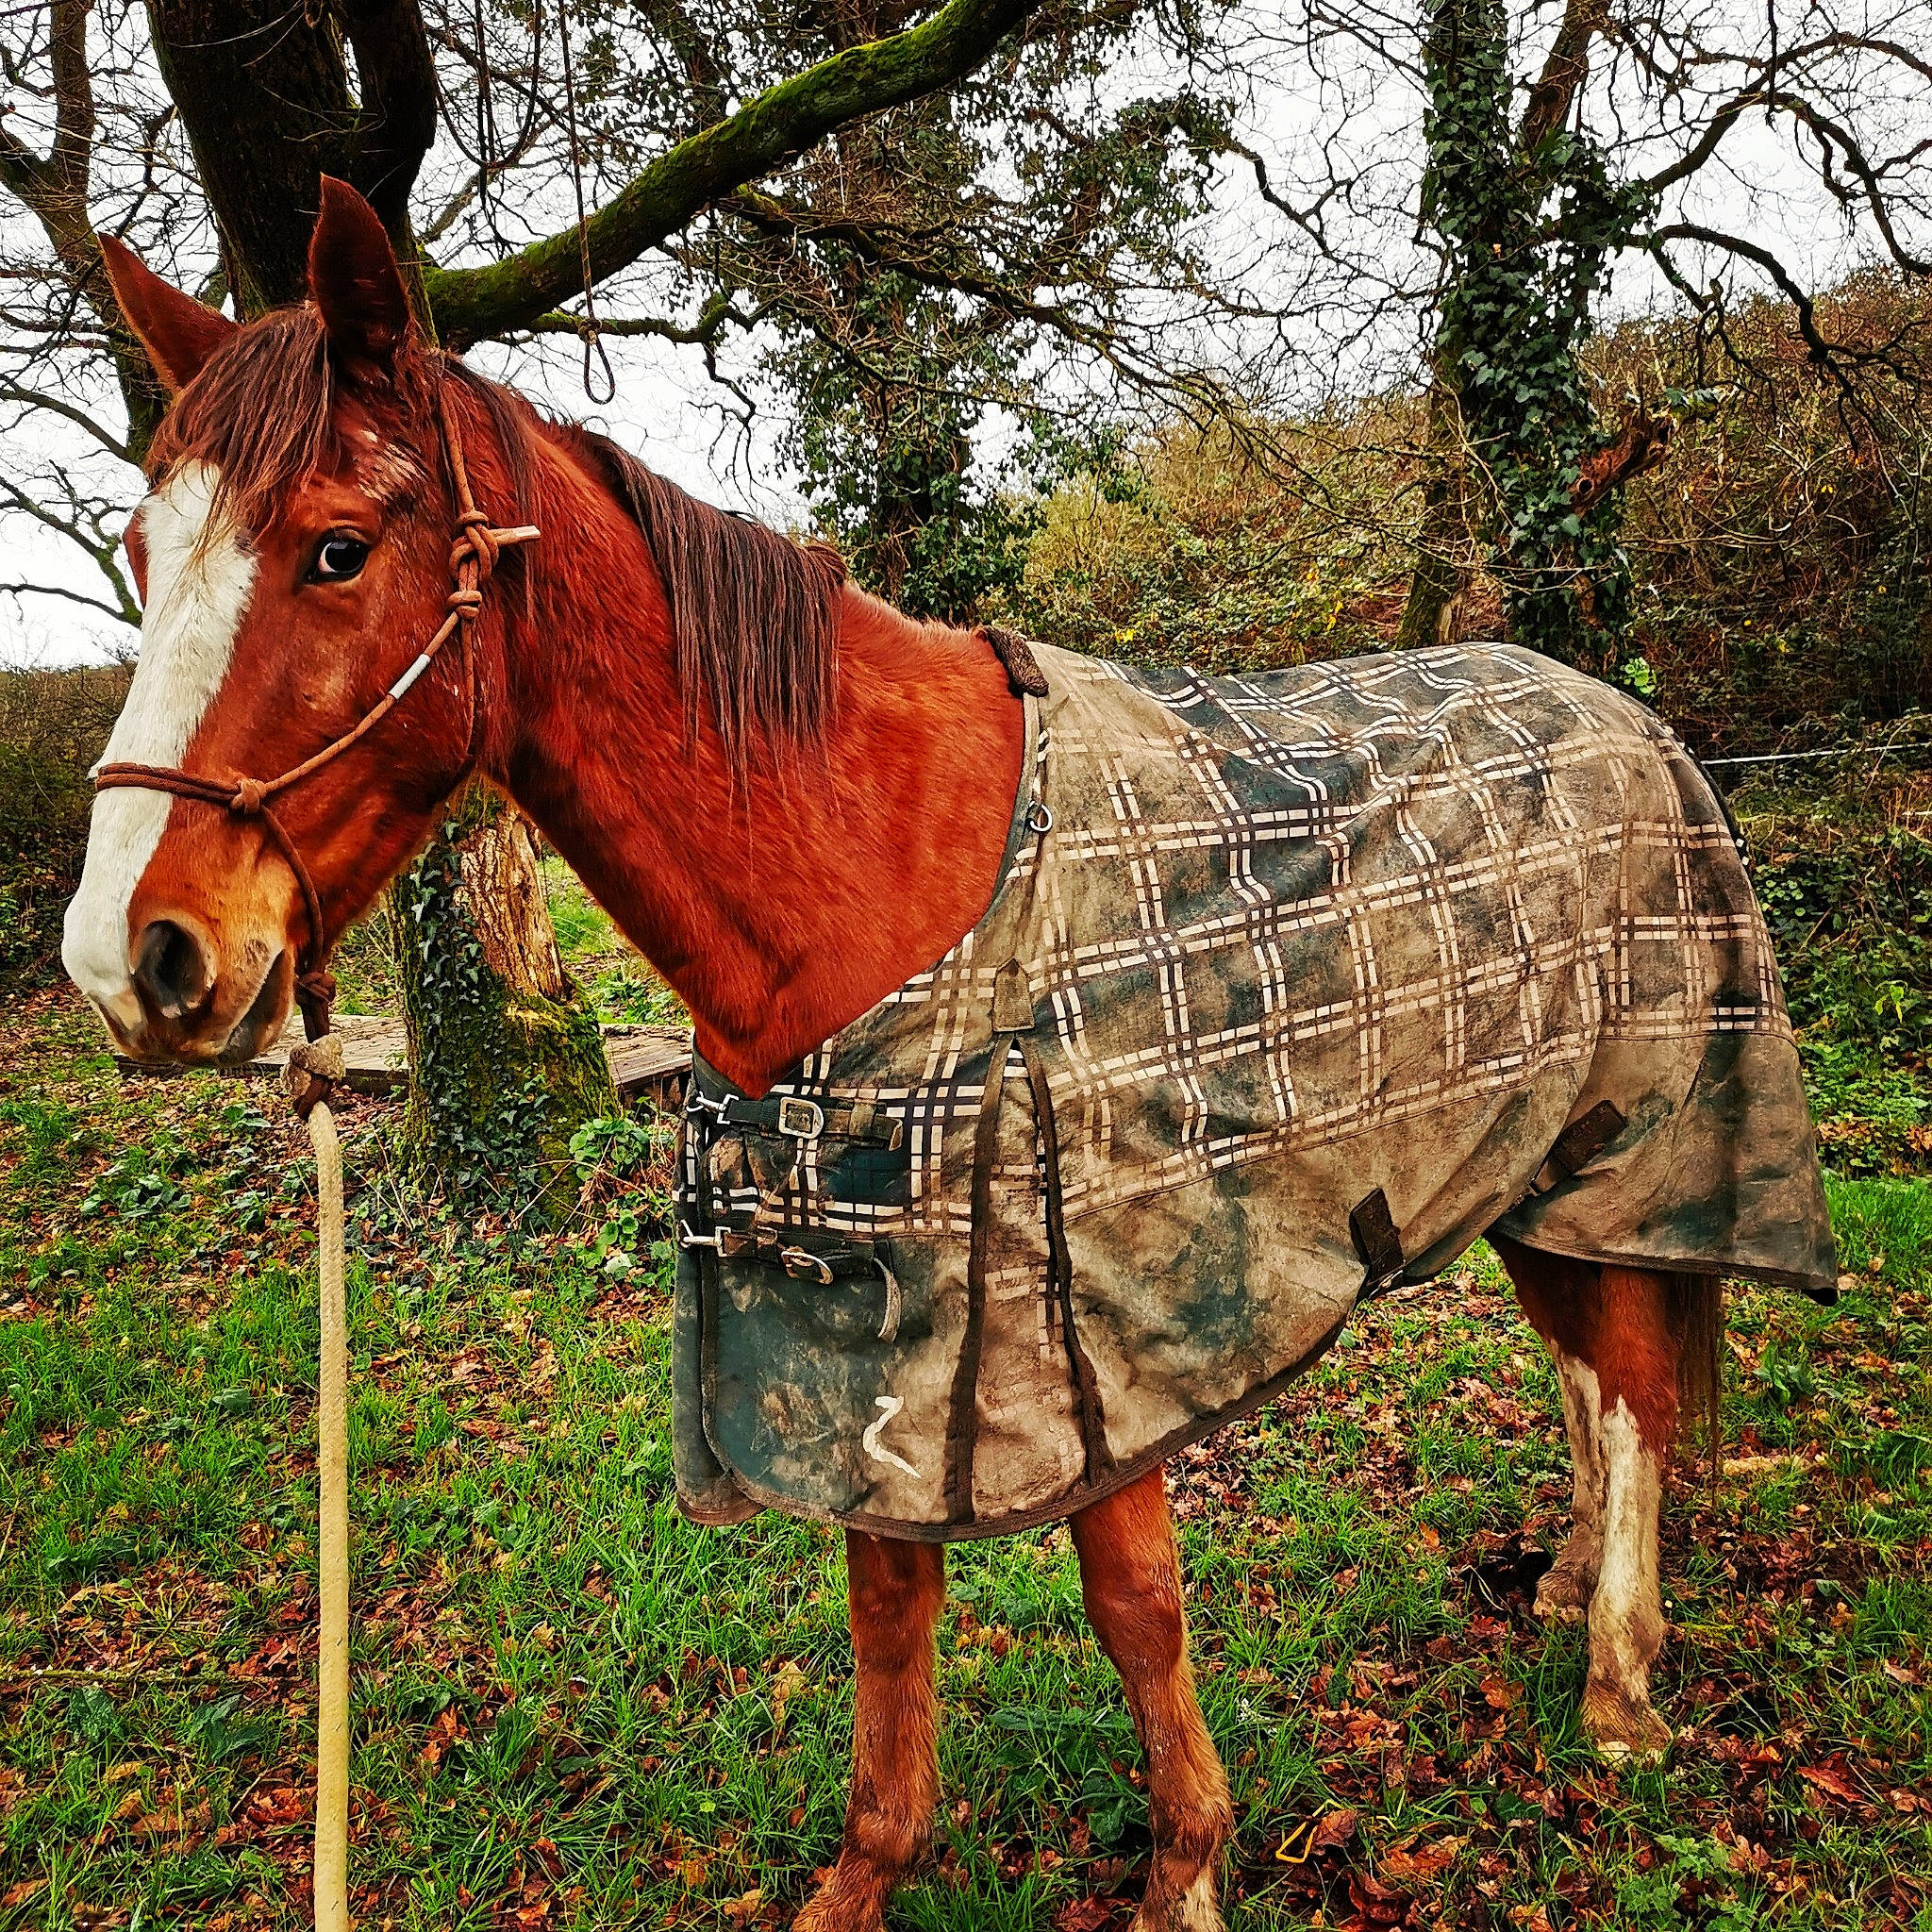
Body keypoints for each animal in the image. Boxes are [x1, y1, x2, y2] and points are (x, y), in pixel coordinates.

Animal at [67, 179, 1833, 1932]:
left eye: (337, 548)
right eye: (142, 551)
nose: (127, 957)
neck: (867, 865)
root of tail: (1624, 712)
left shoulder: (1090, 1334)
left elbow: (1134, 1602)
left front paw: (1186, 1867)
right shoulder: (860, 1346)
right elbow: (886, 1599)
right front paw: (871, 1871)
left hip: (1632, 1136)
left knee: (1629, 1381)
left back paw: (1618, 1687)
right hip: (1532, 1160)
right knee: (1596, 1360)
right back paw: (1571, 1590)